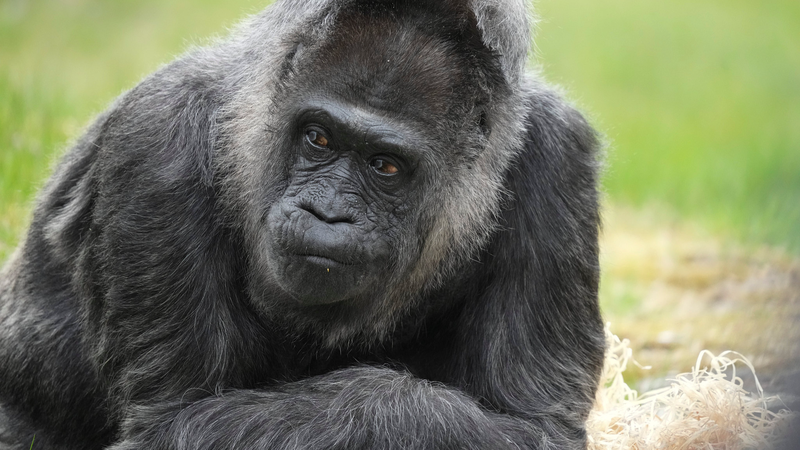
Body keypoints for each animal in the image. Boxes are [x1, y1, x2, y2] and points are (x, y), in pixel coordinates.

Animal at [0, 1, 604, 448]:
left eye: (385, 166)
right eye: (318, 137)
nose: (327, 212)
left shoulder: (560, 159)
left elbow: (533, 427)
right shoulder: (155, 142)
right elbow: (171, 422)